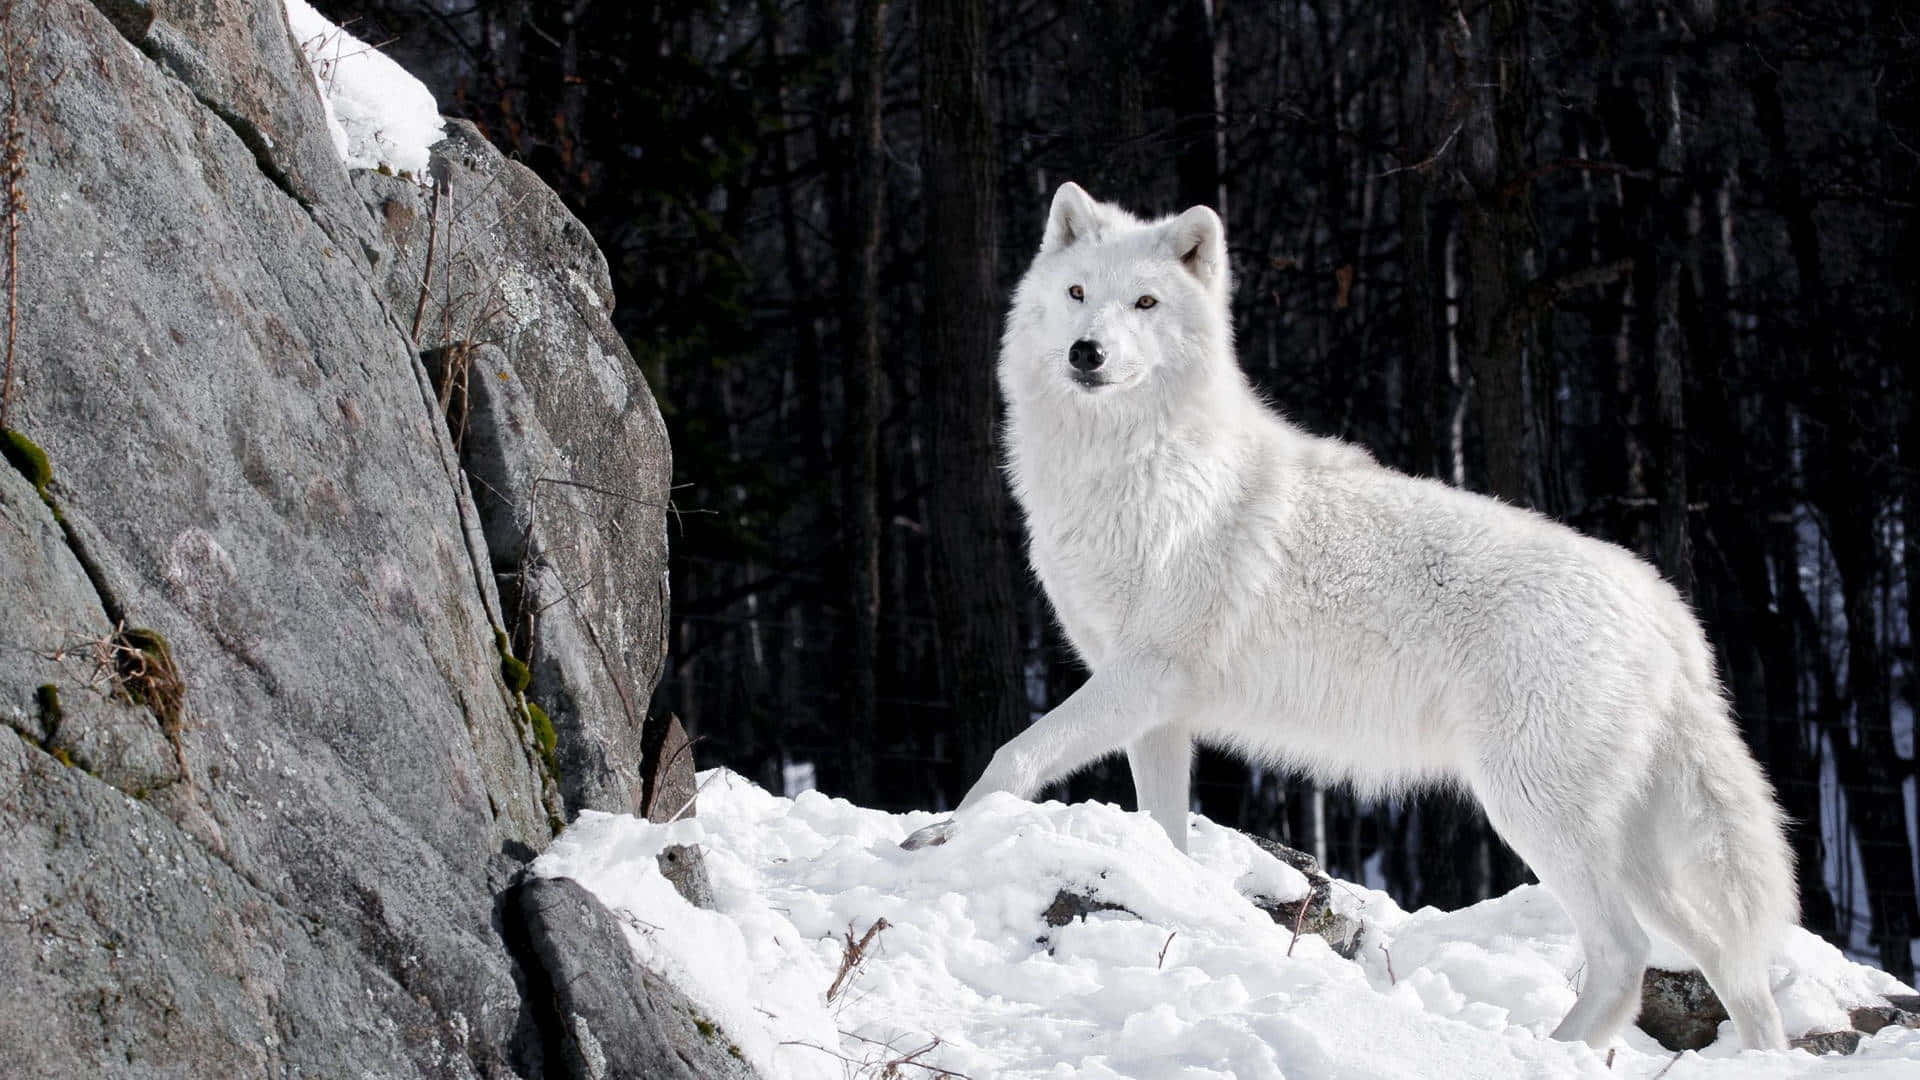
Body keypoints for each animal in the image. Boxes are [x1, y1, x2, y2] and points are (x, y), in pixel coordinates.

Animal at [902, 180, 1797, 1045]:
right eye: (1079, 293)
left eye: (1146, 303)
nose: (1086, 353)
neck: (1134, 468)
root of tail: (1665, 607)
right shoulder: (1158, 713)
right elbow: (1166, 833)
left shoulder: (1143, 676)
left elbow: (1012, 756)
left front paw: (937, 838)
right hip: (1629, 849)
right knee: (1730, 963)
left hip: (1532, 811)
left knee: (1625, 954)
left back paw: (1552, 1050)